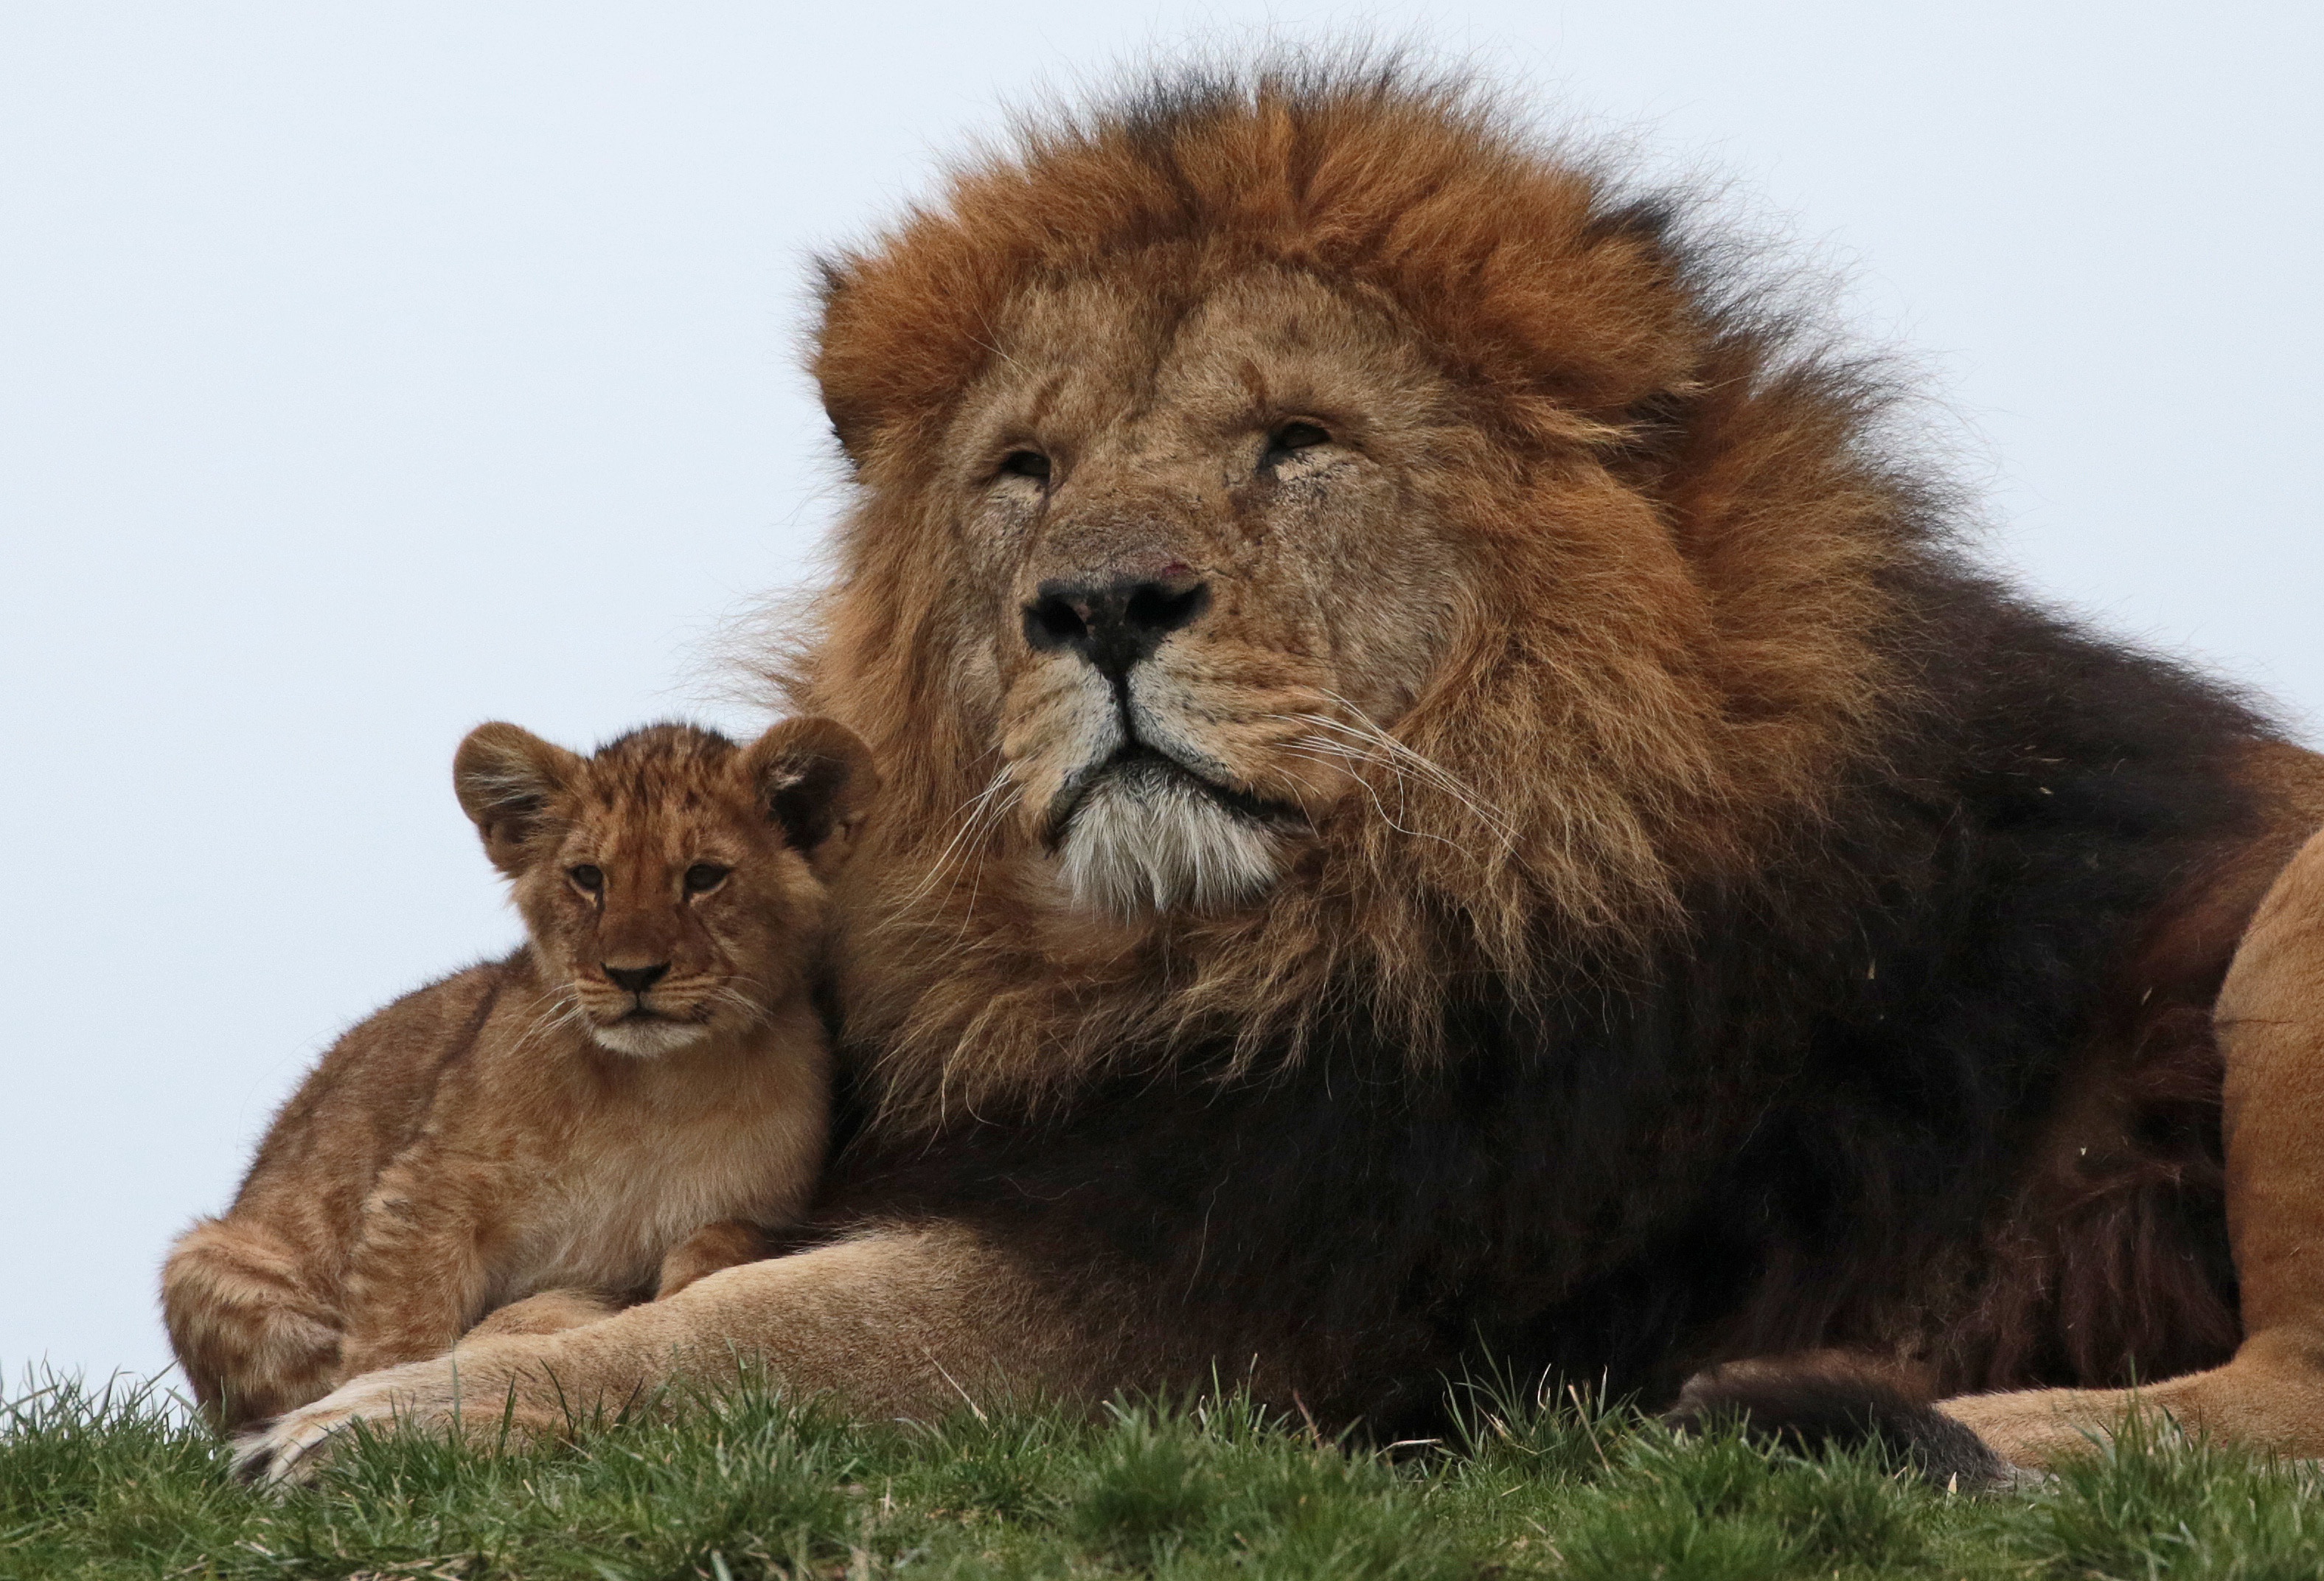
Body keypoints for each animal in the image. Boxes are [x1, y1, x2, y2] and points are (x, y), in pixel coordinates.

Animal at [245, 68, 2324, 1479]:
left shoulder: (1223, 1305)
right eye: (1026, 470)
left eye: (1300, 443)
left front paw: (382, 1417)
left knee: (2266, 1413)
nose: (1098, 603)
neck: (1239, 950)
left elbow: (763, 1341)